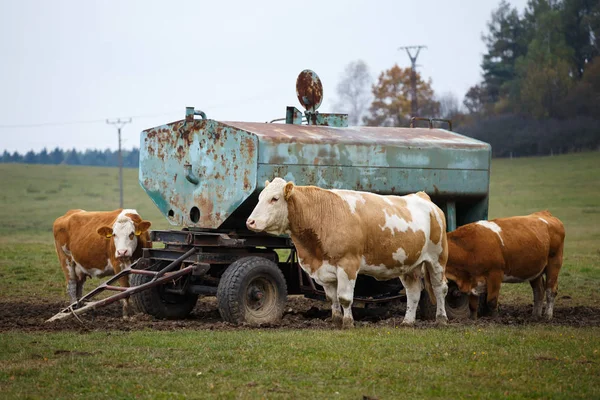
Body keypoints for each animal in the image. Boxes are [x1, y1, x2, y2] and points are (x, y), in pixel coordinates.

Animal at [246, 178, 448, 328]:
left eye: (274, 198)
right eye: (260, 197)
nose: (250, 222)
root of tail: (423, 197)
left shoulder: (348, 264)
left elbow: (344, 298)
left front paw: (348, 323)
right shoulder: (324, 270)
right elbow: (332, 298)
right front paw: (336, 322)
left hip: (437, 259)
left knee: (440, 288)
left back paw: (441, 319)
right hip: (409, 265)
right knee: (413, 292)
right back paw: (407, 321)